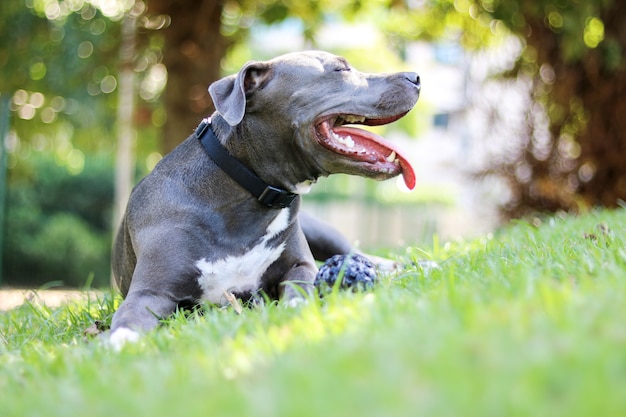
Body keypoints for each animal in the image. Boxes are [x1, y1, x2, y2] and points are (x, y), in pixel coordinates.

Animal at [109, 50, 420, 346]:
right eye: (340, 69)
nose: (415, 76)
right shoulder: (151, 292)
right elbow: (128, 317)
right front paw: (118, 342)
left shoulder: (301, 265)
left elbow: (300, 286)